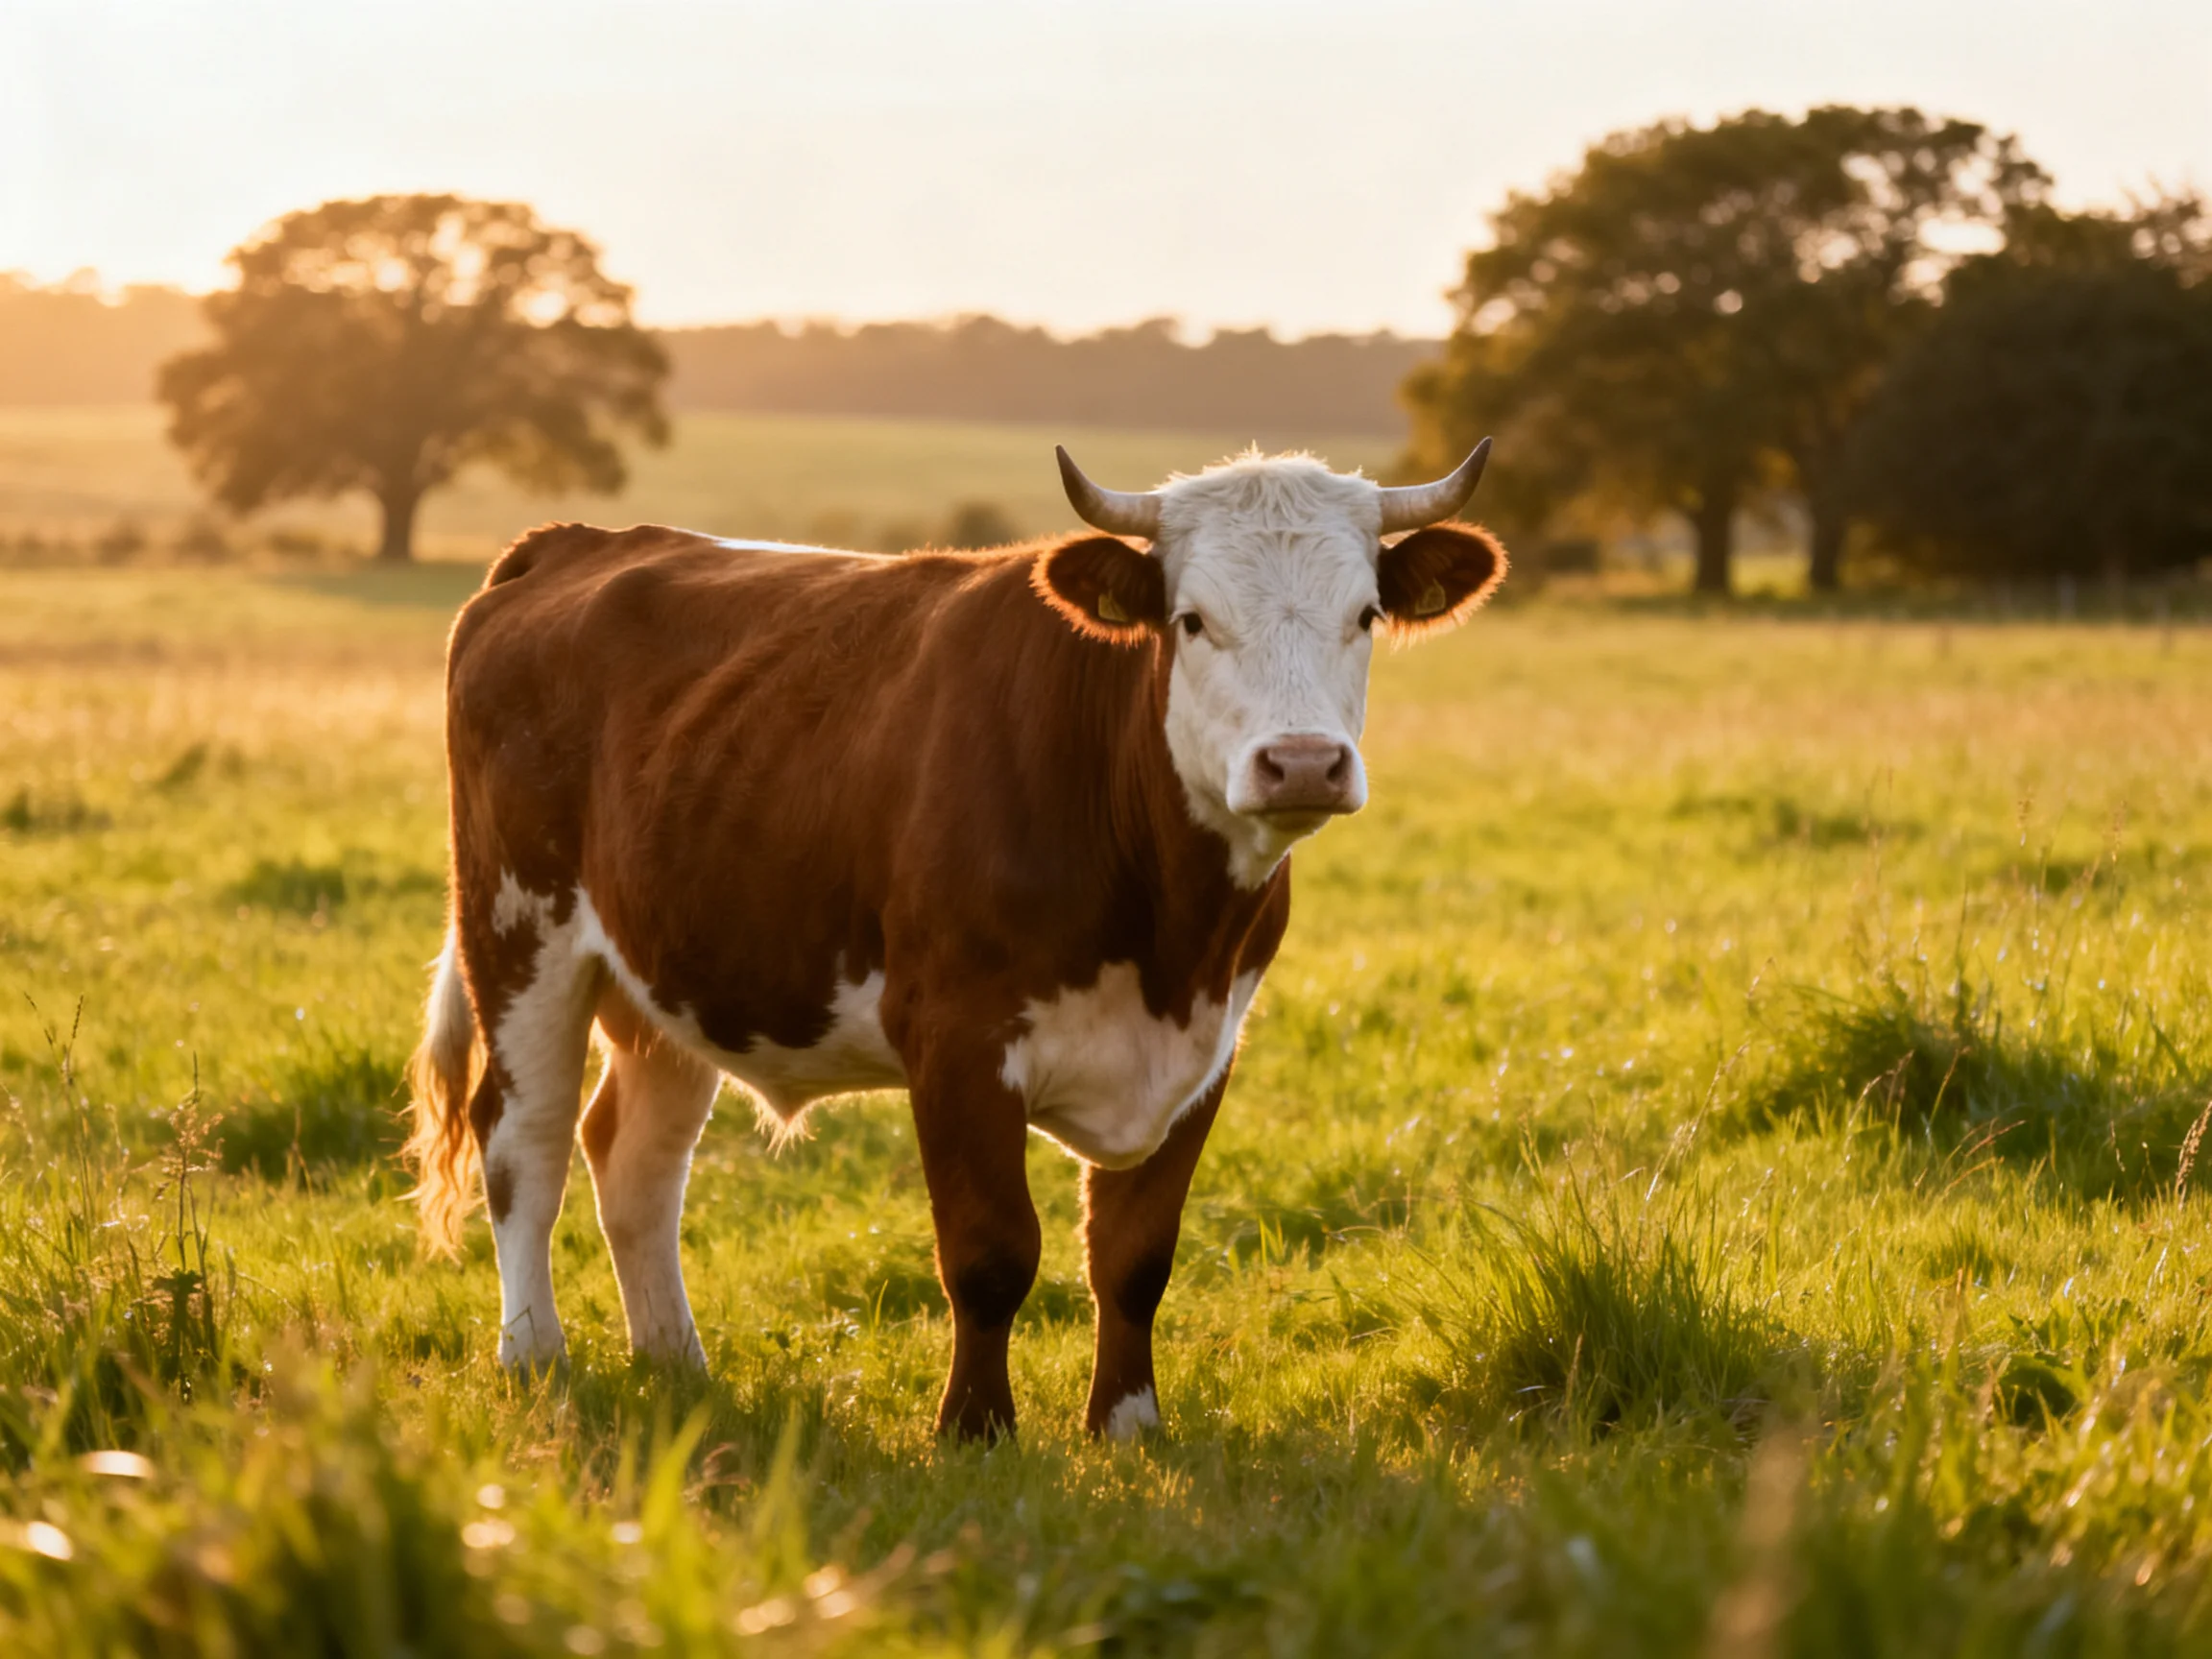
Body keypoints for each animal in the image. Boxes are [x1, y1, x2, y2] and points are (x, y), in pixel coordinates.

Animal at [404, 441, 1505, 1440]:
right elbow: (989, 1253)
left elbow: (1136, 1257)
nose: (1304, 763)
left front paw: (1129, 1427)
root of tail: (575, 542)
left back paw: (677, 1363)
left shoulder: (1205, 1049)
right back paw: (534, 1355)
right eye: (1192, 620)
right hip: (520, 933)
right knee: (525, 1139)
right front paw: (976, 1430)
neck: (1168, 932)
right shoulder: (956, 1038)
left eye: (1363, 616)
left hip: (673, 969)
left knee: (635, 1158)